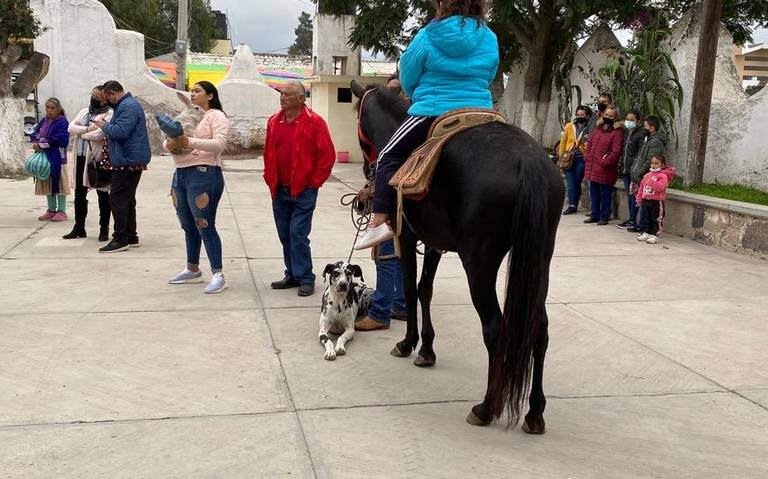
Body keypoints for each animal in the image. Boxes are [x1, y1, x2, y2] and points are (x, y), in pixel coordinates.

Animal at [352, 80, 564, 434]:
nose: (368, 168)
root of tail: (529, 162)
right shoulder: (434, 243)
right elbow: (425, 289)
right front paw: (426, 349)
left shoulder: (406, 236)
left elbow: (409, 289)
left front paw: (408, 343)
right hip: (540, 260)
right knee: (540, 327)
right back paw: (535, 412)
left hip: (479, 262)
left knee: (494, 327)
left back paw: (486, 407)